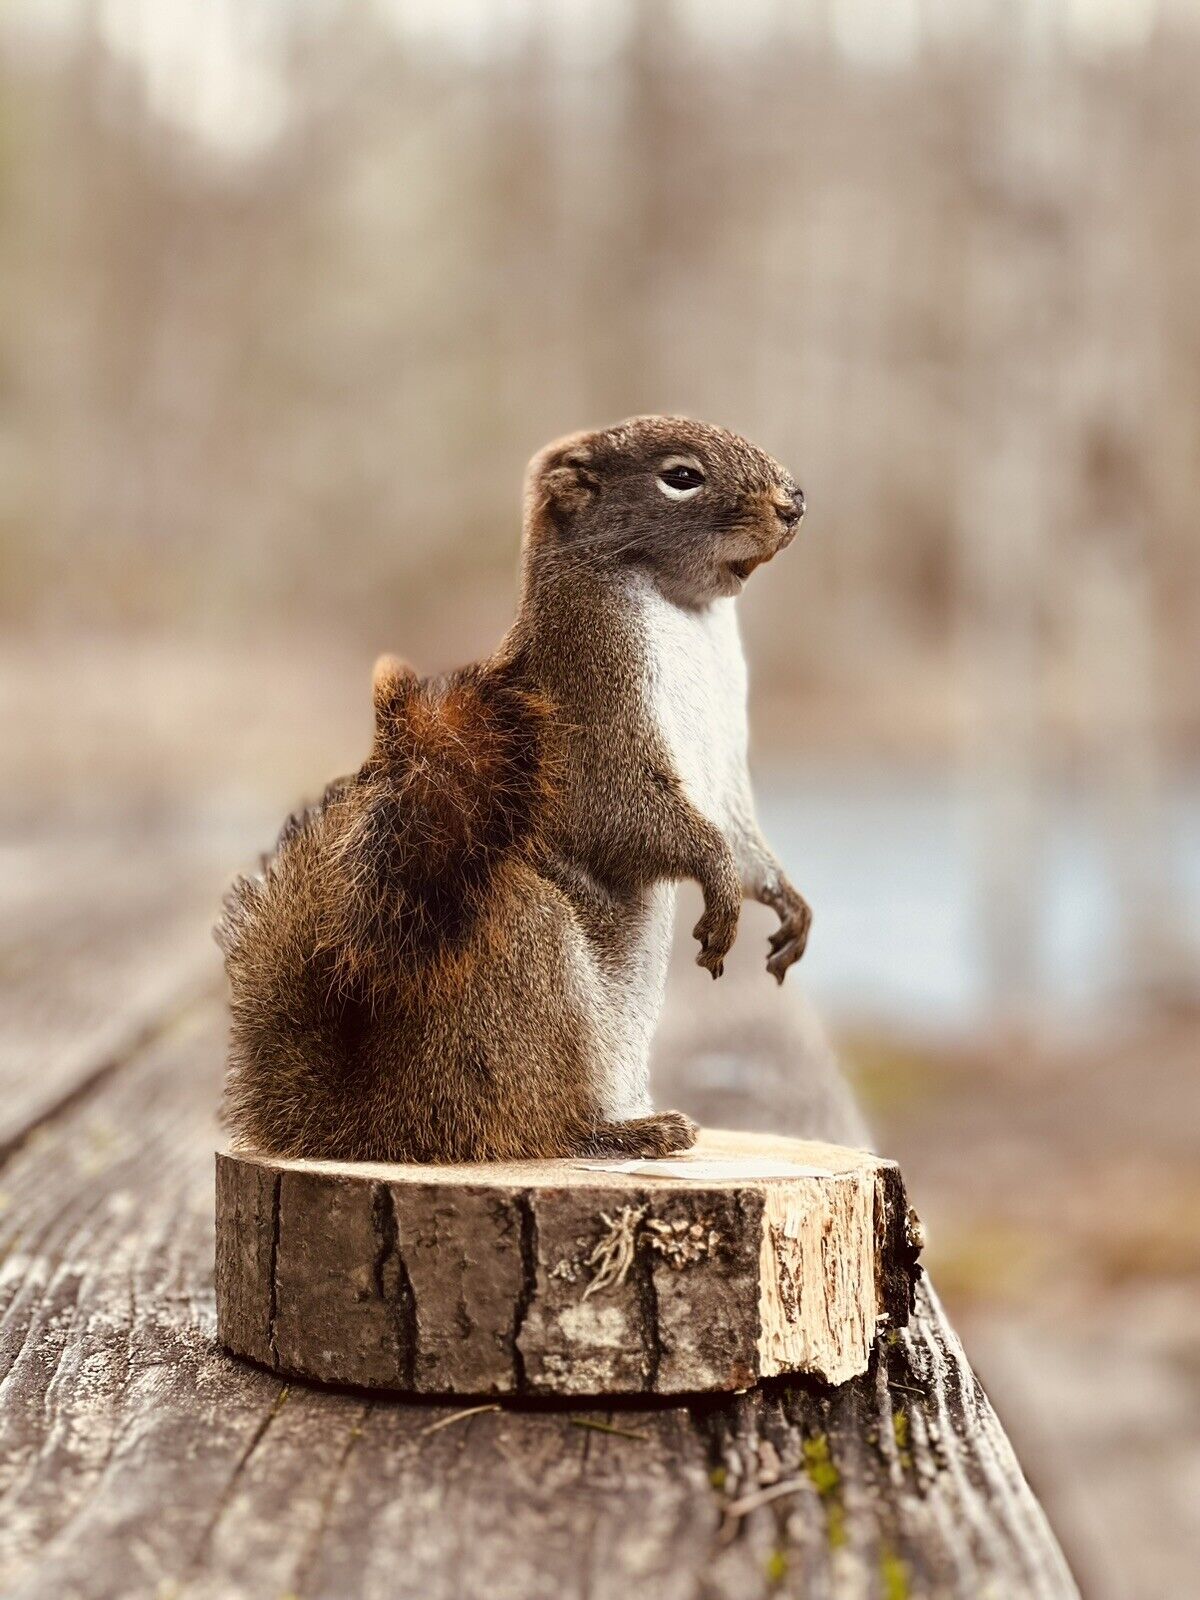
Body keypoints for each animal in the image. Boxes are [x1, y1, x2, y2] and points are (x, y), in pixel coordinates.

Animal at [218, 415, 811, 1164]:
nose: (794, 503)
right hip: (528, 947)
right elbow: (625, 815)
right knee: (528, 1128)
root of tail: (376, 1124)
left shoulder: (727, 766)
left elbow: (739, 829)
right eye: (681, 476)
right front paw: (721, 887)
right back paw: (624, 1131)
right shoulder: (593, 696)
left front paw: (787, 903)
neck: (688, 612)